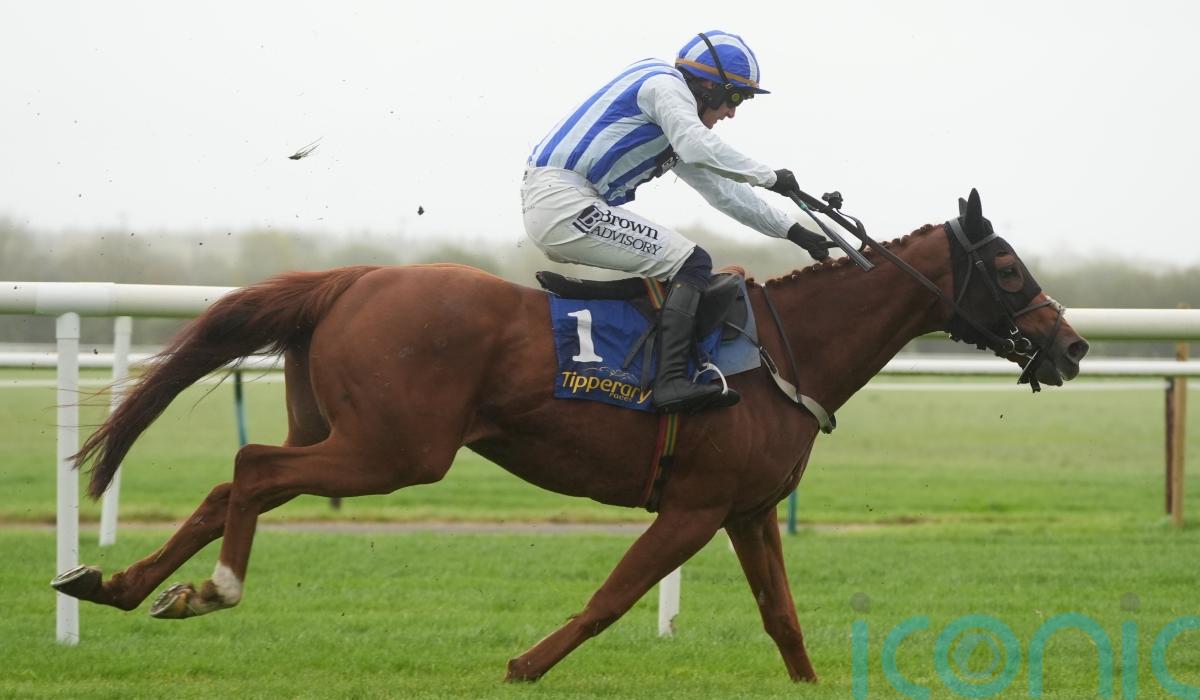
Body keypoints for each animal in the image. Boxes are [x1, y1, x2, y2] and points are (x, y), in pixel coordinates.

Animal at [52, 189, 1088, 682]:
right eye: (1005, 266)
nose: (1072, 345)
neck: (782, 351)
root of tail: (354, 279)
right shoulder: (696, 506)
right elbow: (612, 598)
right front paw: (522, 665)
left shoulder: (747, 509)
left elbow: (784, 620)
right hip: (397, 449)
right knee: (252, 466)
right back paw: (210, 589)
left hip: (347, 431)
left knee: (235, 481)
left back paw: (118, 582)